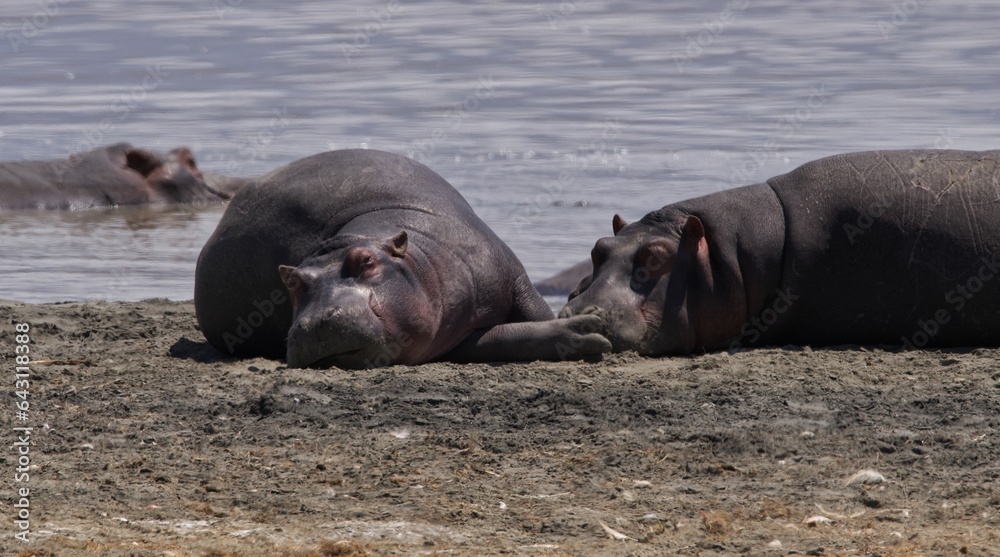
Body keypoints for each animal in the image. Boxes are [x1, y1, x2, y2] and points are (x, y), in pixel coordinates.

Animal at [194, 149, 610, 368]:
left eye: (366, 262)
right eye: (293, 281)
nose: (315, 323)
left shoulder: (512, 277)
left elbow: (531, 317)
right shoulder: (448, 341)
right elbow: (507, 337)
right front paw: (586, 329)